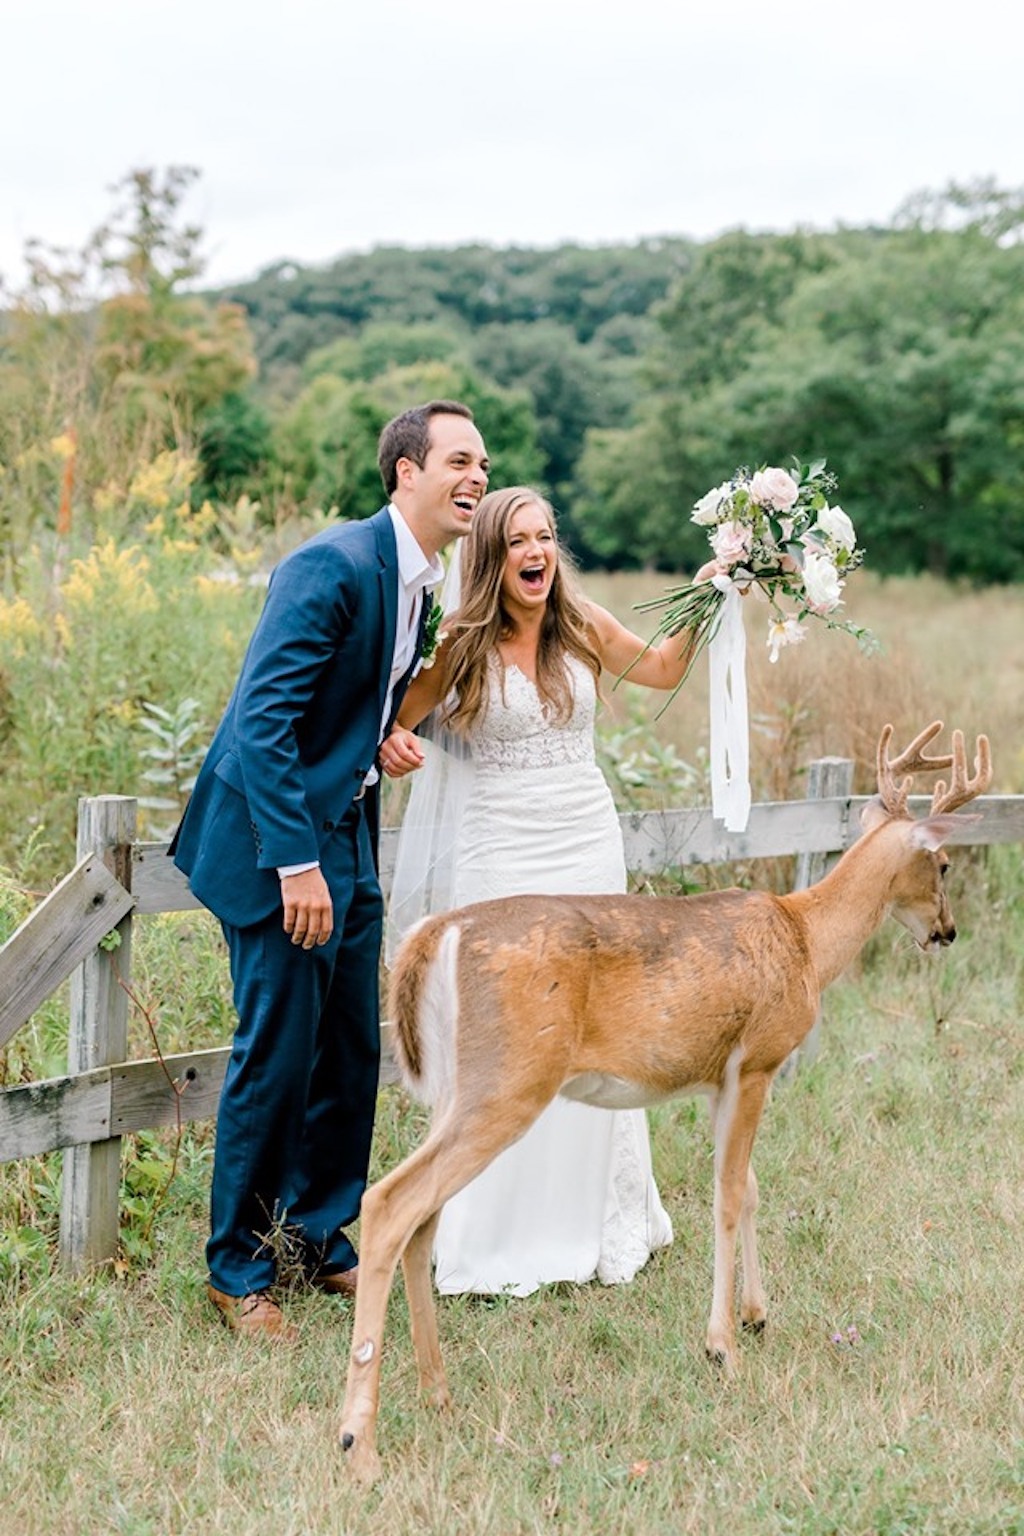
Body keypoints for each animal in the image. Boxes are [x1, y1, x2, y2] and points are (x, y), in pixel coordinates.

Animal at [342, 724, 994, 1480]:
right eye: (942, 864)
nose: (948, 931)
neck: (806, 941)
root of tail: (429, 936)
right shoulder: (759, 1058)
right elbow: (729, 1196)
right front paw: (722, 1347)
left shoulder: (720, 1079)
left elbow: (752, 1187)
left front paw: (757, 1315)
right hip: (509, 1081)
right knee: (390, 1203)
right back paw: (360, 1442)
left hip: (457, 1091)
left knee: (422, 1219)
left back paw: (437, 1392)